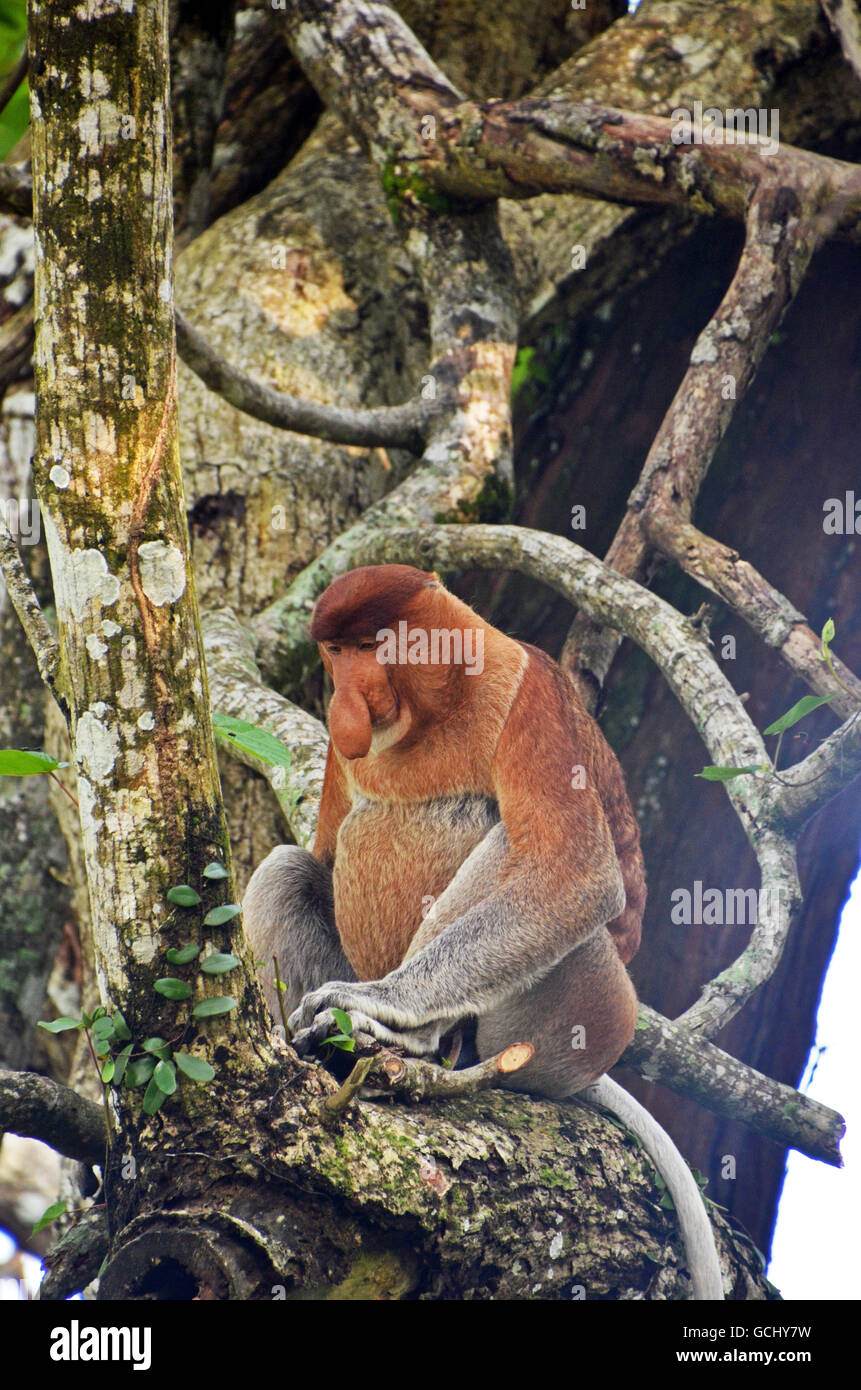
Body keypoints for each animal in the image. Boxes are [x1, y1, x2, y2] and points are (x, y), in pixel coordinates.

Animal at [246, 558, 723, 1295]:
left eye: (371, 646)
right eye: (335, 651)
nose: (345, 701)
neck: (434, 708)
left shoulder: (533, 695)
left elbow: (578, 874)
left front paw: (382, 1003)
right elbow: (320, 855)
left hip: (584, 1010)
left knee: (509, 838)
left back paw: (412, 1040)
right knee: (285, 866)